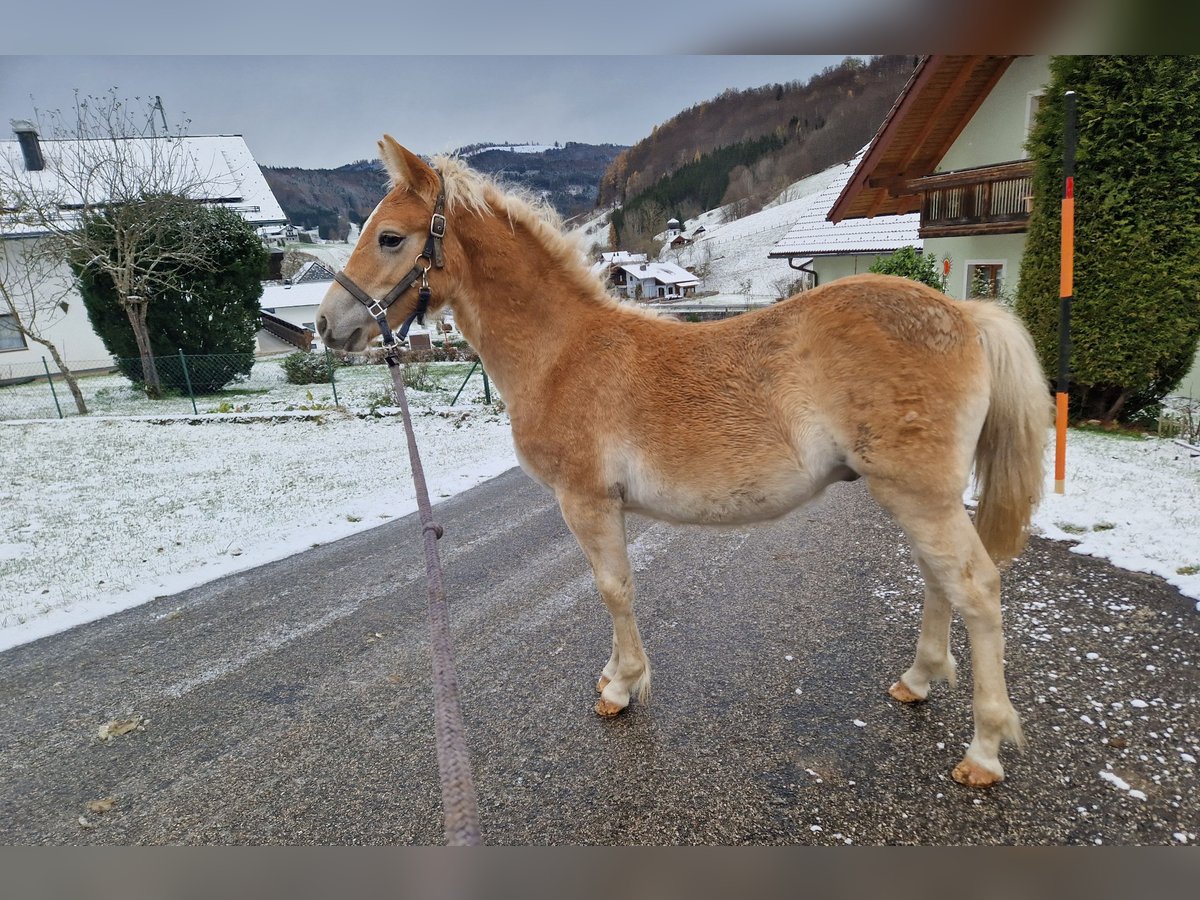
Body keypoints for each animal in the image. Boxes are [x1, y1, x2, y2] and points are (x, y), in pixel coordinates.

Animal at [321, 135, 1051, 787]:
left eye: (390, 238)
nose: (328, 326)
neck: (562, 351)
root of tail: (963, 314)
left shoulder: (586, 502)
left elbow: (614, 589)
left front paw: (621, 687)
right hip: (917, 497)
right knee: (939, 582)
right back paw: (917, 681)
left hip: (919, 495)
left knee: (976, 590)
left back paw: (984, 751)